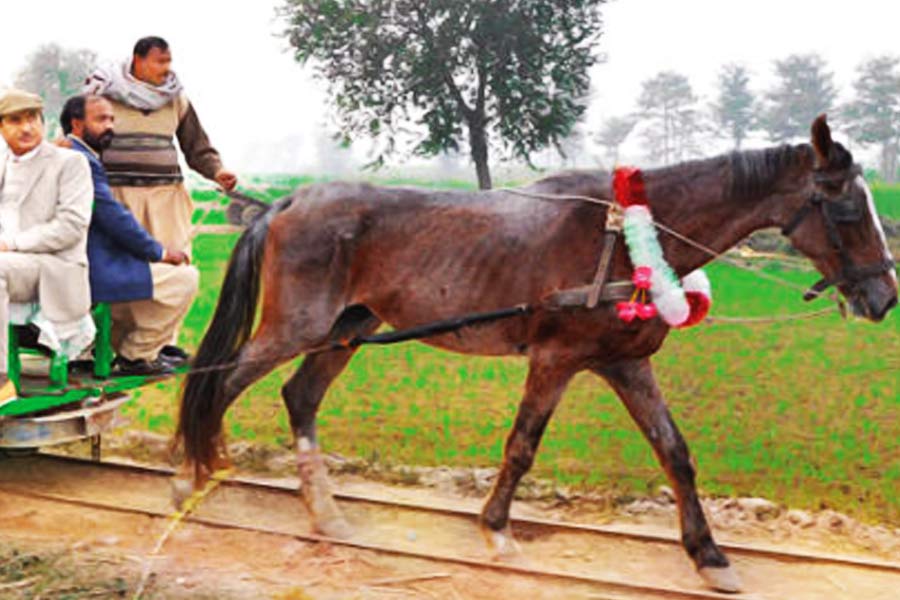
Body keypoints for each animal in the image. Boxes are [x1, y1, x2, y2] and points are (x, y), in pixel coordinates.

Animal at [173, 115, 896, 593]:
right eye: (846, 210)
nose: (884, 296)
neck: (622, 237)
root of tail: (287, 200)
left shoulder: (627, 364)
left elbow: (676, 453)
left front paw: (708, 554)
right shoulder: (556, 359)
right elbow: (522, 446)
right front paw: (497, 529)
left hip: (346, 328)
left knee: (300, 396)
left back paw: (323, 511)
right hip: (296, 326)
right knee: (218, 384)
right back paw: (189, 473)